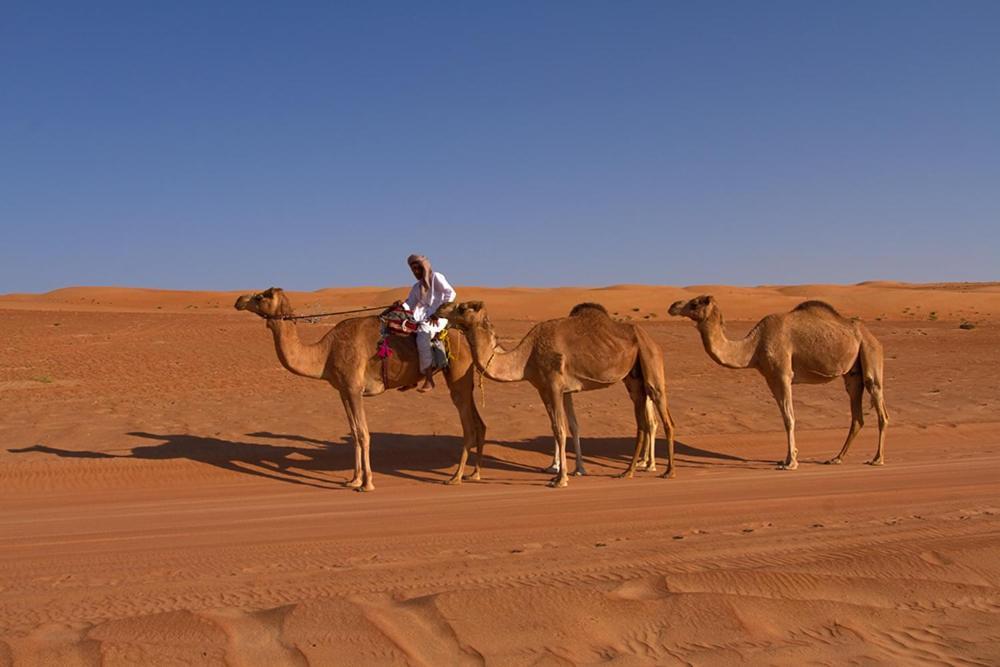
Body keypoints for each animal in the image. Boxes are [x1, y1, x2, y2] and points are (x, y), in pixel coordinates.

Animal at [234, 288, 484, 490]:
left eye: (262, 296)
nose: (239, 300)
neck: (325, 353)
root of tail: (464, 339)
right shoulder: (343, 390)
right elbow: (354, 433)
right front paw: (353, 480)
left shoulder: (355, 388)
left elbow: (364, 434)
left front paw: (367, 483)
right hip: (465, 380)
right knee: (479, 423)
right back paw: (474, 474)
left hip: (457, 375)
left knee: (468, 427)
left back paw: (456, 477)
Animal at [444, 302, 672, 486]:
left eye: (462, 308)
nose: (440, 309)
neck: (527, 357)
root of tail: (651, 340)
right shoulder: (546, 389)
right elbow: (563, 426)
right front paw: (562, 472)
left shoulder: (554, 385)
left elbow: (560, 429)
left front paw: (561, 479)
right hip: (634, 380)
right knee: (642, 423)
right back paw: (628, 472)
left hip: (650, 362)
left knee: (664, 416)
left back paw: (668, 471)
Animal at [668, 298, 888, 470]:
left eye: (695, 302)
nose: (673, 306)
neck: (754, 346)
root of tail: (872, 336)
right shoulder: (770, 378)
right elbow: (784, 418)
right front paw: (787, 458)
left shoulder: (782, 374)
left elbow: (789, 418)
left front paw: (791, 463)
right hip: (852, 374)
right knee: (857, 414)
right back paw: (836, 458)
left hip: (870, 352)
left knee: (879, 404)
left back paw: (877, 459)